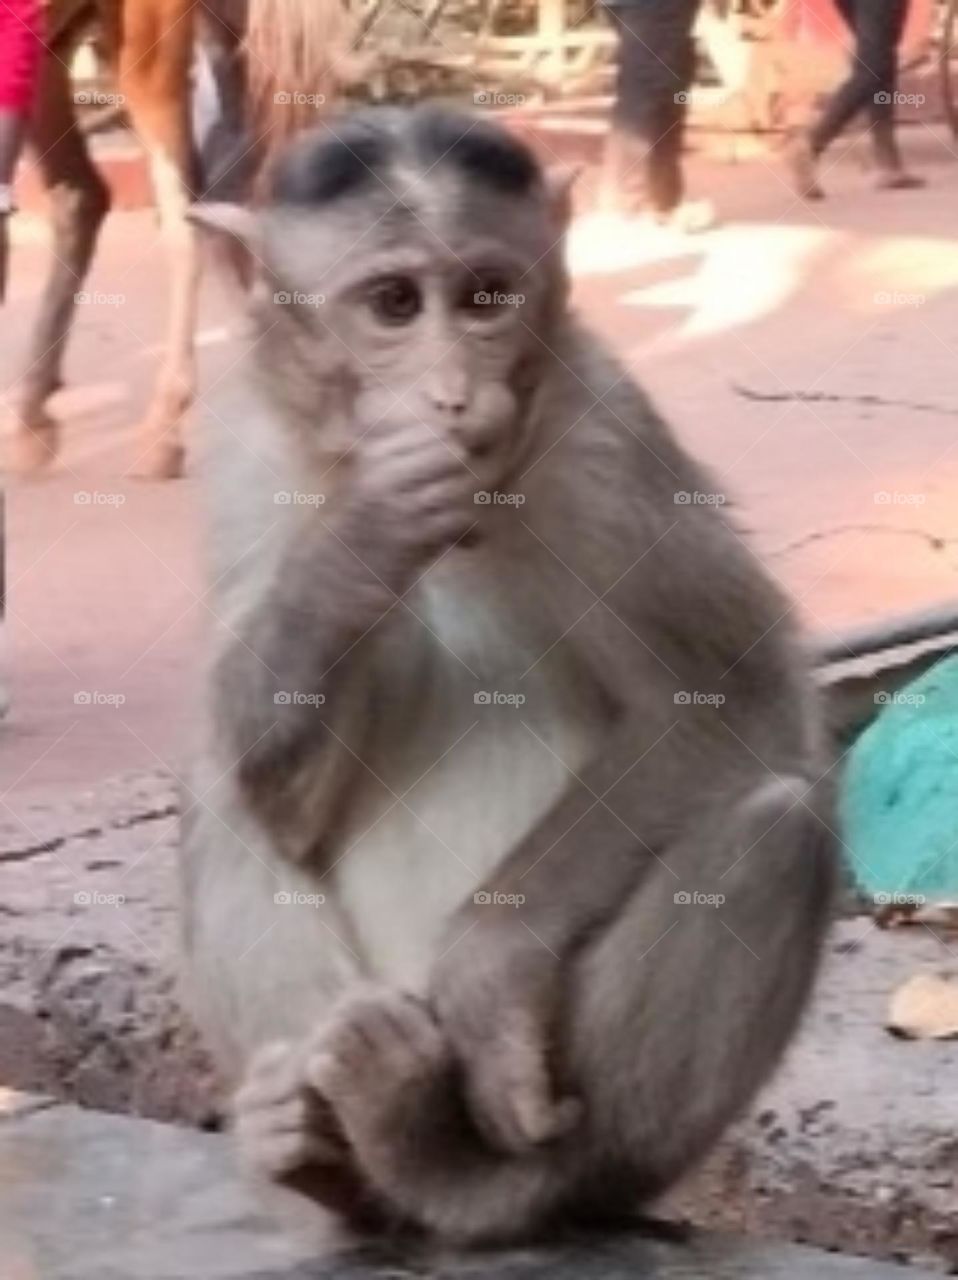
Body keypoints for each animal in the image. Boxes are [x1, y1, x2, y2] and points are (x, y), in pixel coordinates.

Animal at [179, 104, 836, 1246]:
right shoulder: (249, 452)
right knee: (219, 793)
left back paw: (467, 1170)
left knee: (775, 828)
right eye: (394, 304)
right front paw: (364, 535)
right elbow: (272, 783)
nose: (450, 394)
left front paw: (489, 969)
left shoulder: (603, 436)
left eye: (485, 296)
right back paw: (324, 1155)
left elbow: (726, 699)